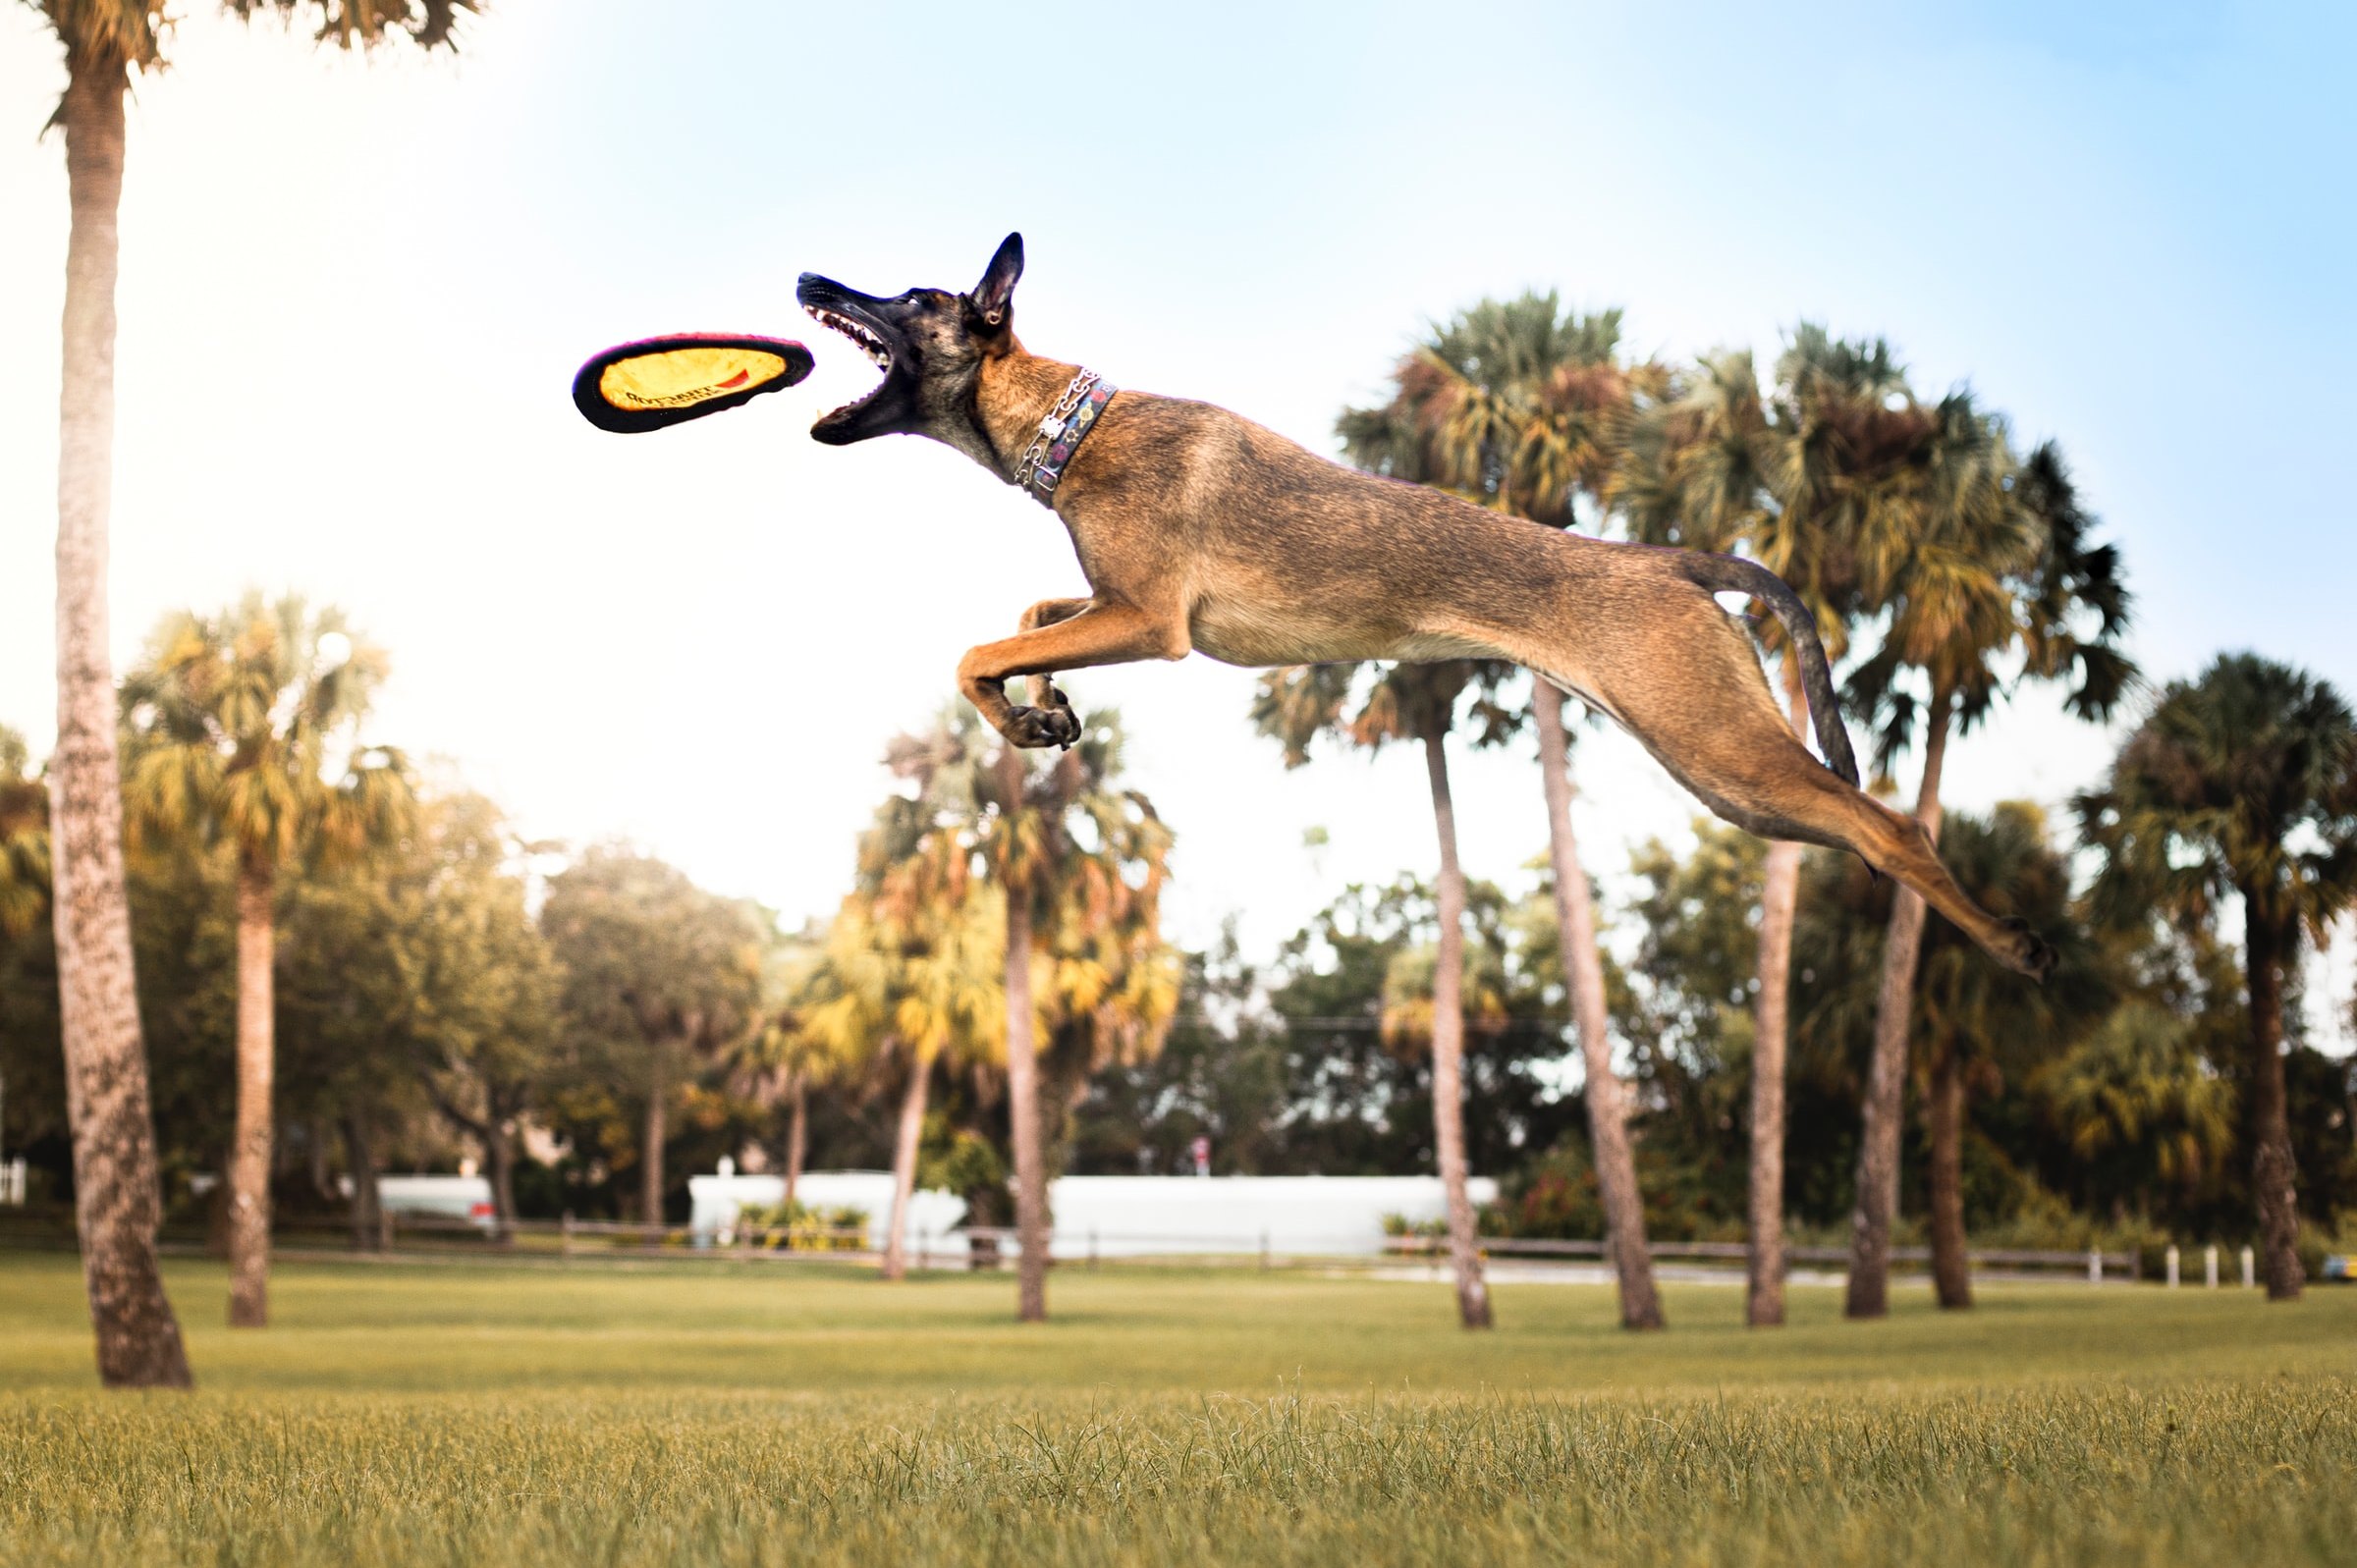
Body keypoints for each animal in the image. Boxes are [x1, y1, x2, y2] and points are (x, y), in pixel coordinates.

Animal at [792, 233, 2046, 981]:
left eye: (912, 297)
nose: (809, 282)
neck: (1075, 422)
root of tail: (1668, 563)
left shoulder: (1151, 624)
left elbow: (973, 646)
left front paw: (1021, 704)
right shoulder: (1113, 605)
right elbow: (1023, 616)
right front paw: (1040, 710)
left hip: (1722, 745)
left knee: (1893, 824)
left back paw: (2011, 940)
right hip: (1728, 779)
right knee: (1864, 830)